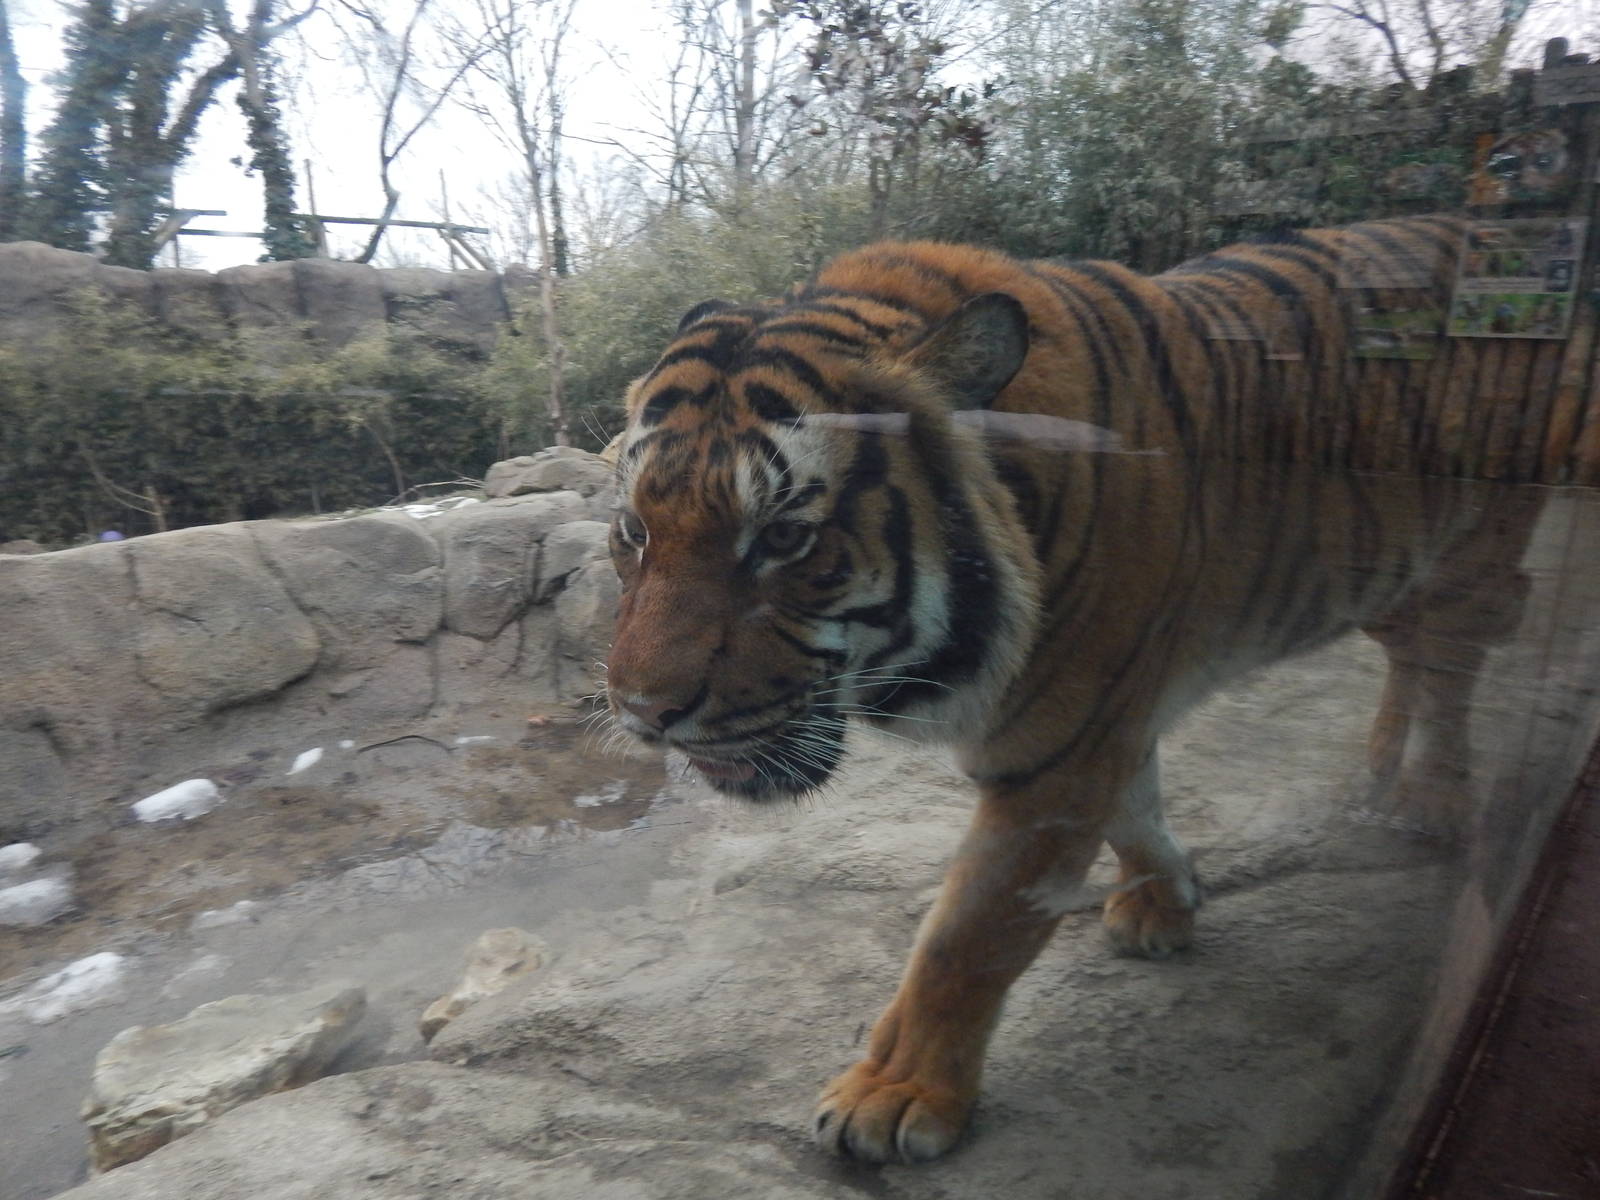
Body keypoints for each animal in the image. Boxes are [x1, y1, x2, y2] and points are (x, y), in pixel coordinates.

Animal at [602, 215, 1541, 1164]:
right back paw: (1381, 766)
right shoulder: (1104, 720)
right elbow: (1136, 807)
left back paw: (1431, 798)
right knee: (1413, 658)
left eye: (785, 538)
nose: (644, 712)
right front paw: (1165, 900)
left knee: (1452, 667)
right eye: (635, 530)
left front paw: (895, 1096)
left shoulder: (1054, 757)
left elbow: (970, 935)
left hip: (1475, 551)